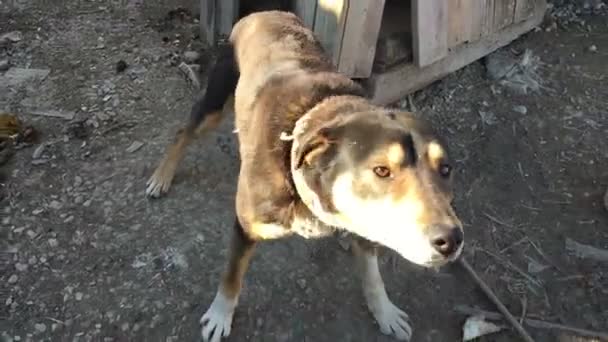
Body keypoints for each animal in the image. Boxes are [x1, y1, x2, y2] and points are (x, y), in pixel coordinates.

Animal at [145, 10, 464, 342]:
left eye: (446, 170)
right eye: (381, 170)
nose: (451, 240)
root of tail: (264, 12)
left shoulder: (364, 228)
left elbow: (373, 277)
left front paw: (385, 312)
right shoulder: (245, 226)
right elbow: (232, 277)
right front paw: (220, 315)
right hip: (214, 103)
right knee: (184, 132)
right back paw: (162, 177)